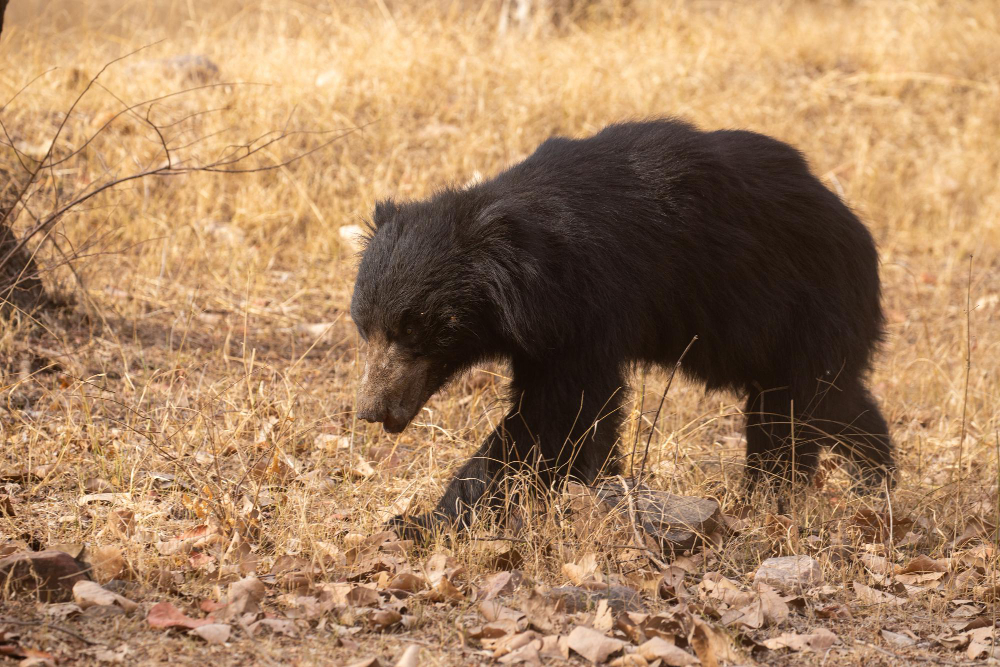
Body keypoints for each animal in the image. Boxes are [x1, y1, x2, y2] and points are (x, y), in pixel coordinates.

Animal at [350, 118, 894, 537]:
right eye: (365, 328)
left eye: (416, 331)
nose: (373, 410)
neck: (529, 274)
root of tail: (857, 228)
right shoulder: (545, 333)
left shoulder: (587, 308)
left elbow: (557, 416)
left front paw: (424, 522)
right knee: (831, 402)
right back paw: (876, 475)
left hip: (801, 307)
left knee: (794, 411)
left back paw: (774, 494)